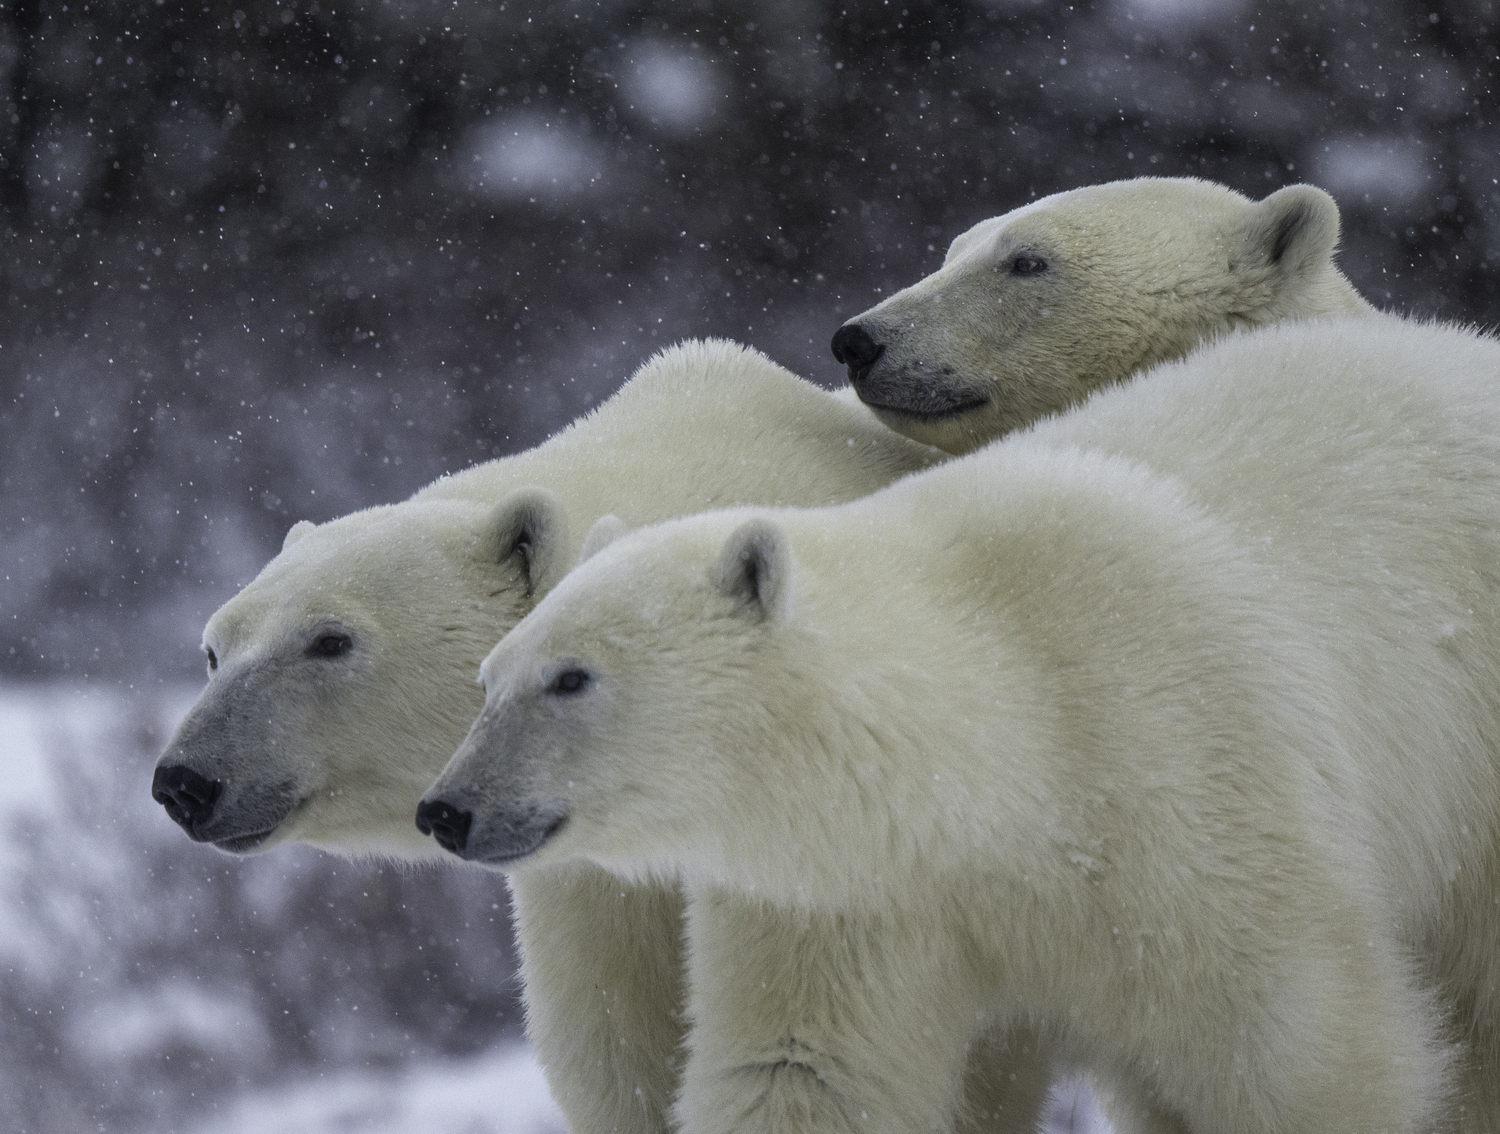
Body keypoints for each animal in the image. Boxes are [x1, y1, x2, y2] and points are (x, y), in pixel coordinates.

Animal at [423, 316, 1500, 1134]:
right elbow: (804, 1069)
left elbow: (1301, 1049)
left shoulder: (1195, 789)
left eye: (571, 678)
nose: (449, 809)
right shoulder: (849, 891)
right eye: (488, 677)